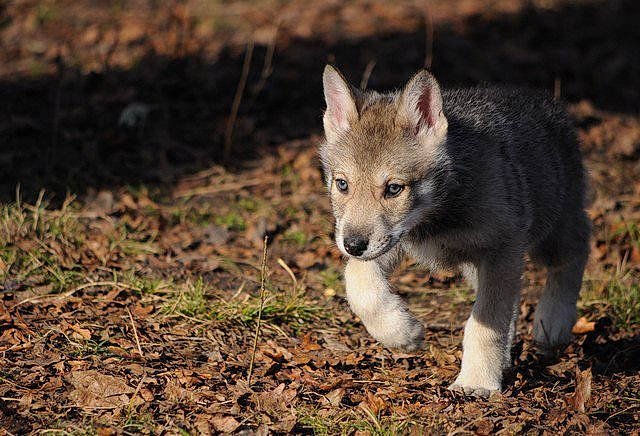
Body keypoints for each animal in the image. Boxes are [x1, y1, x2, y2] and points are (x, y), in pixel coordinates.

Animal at [318, 65, 590, 397]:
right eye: (342, 184)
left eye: (394, 189)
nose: (353, 245)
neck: (437, 215)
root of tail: (548, 103)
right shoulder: (396, 242)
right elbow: (359, 284)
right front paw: (402, 333)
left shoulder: (501, 249)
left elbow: (485, 323)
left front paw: (476, 382)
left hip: (550, 232)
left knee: (578, 247)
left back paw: (553, 322)